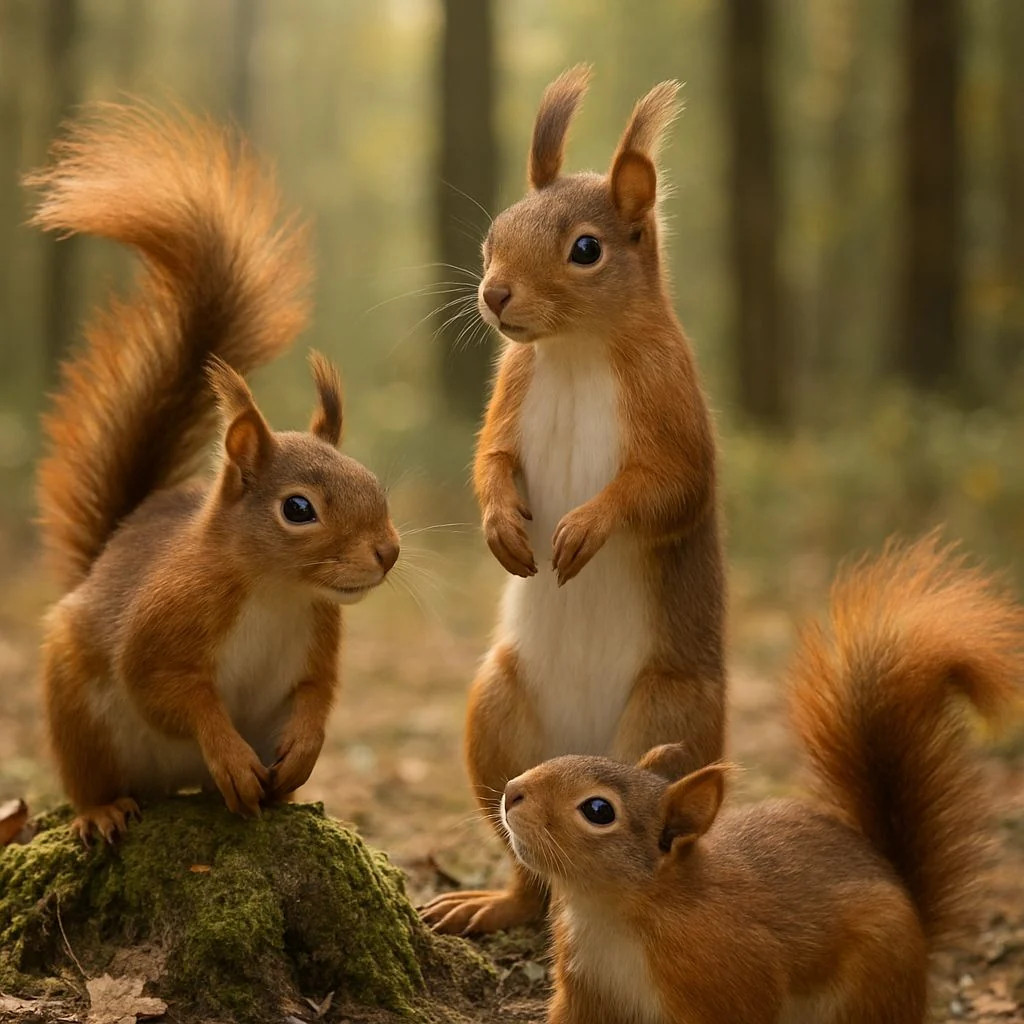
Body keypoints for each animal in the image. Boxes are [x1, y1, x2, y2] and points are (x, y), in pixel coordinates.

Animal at [27, 103, 400, 844]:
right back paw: (103, 811)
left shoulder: (318, 641)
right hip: (76, 707)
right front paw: (226, 752)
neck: (276, 590)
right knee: (90, 773)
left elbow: (317, 695)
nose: (388, 552)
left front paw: (305, 747)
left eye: (374, 483)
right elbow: (169, 691)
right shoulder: (163, 622)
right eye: (297, 509)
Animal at [423, 65, 725, 935]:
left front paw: (587, 526)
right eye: (492, 236)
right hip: (497, 720)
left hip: (670, 713)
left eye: (585, 249)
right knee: (529, 867)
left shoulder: (675, 405)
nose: (494, 295)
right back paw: (491, 904)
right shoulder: (510, 390)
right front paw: (501, 528)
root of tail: (580, 754)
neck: (576, 350)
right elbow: (488, 462)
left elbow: (667, 489)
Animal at [500, 536, 1024, 1024]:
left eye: (598, 810)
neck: (610, 912)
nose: (511, 793)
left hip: (869, 990)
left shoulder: (730, 982)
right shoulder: (586, 992)